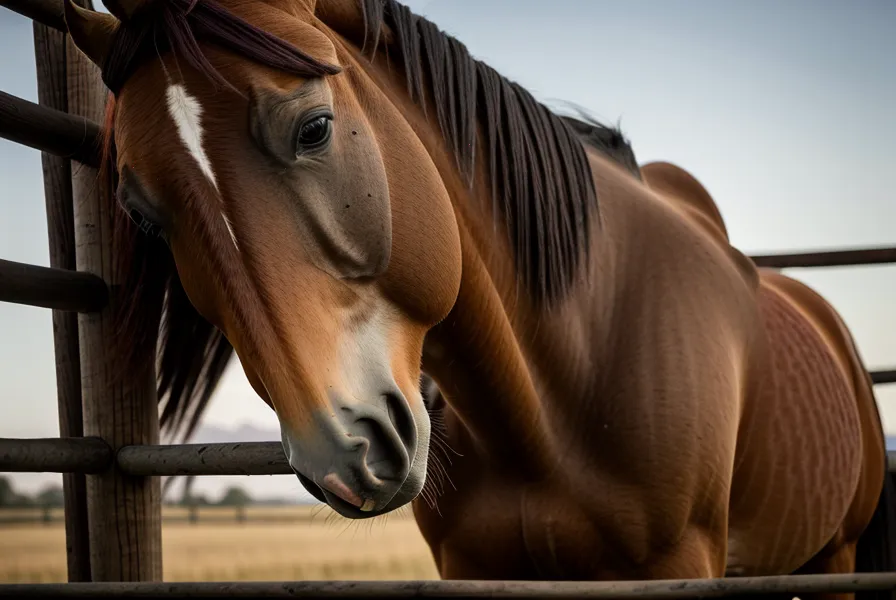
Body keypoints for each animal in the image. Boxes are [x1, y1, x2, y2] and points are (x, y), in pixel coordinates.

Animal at [62, 0, 895, 592]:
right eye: (145, 215)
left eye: (314, 128)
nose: (342, 451)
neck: (548, 413)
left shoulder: (681, 565)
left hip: (837, 556)